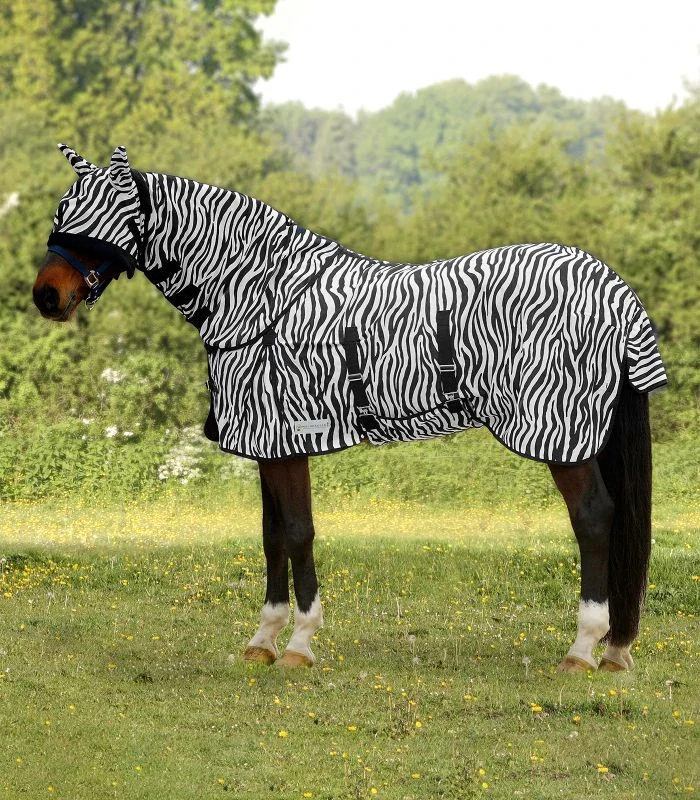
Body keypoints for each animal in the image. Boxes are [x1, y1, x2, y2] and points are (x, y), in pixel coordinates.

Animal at [34, 144, 666, 672]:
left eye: (107, 214)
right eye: (65, 206)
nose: (46, 295)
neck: (263, 297)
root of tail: (614, 289)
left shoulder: (287, 440)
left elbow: (297, 532)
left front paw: (299, 644)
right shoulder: (269, 446)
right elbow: (271, 535)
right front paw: (263, 641)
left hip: (564, 436)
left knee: (594, 520)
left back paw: (583, 649)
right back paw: (614, 650)